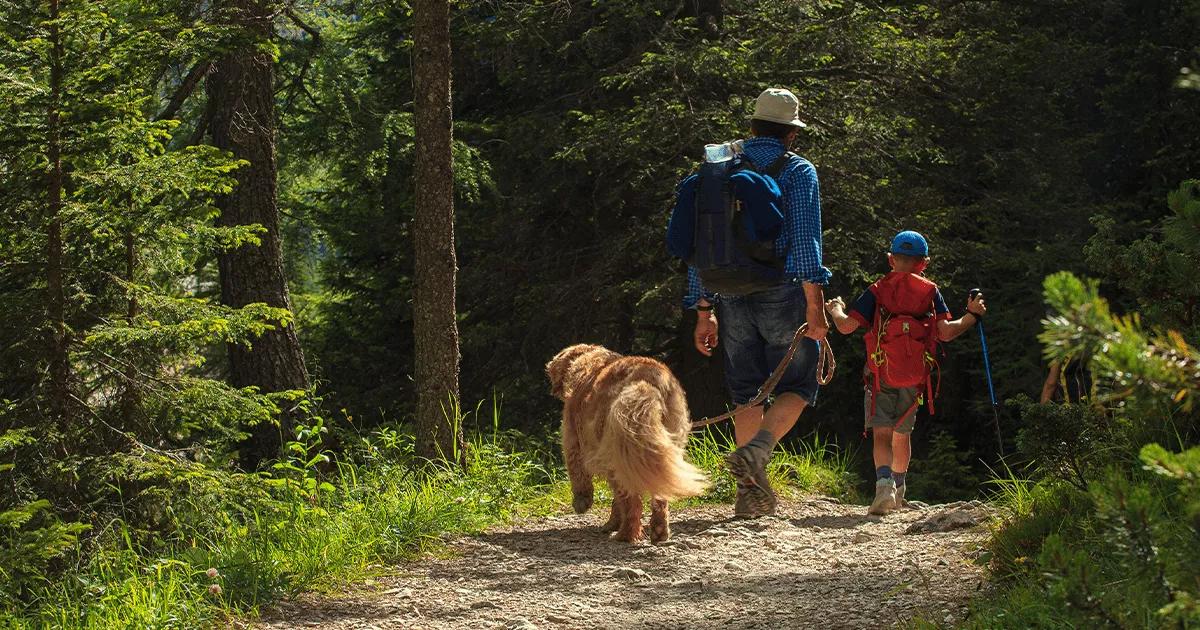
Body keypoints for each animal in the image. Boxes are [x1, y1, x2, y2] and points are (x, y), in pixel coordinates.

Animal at [547, 343, 705, 540]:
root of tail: (648, 380)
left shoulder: (573, 441)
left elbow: (578, 474)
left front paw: (582, 502)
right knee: (657, 498)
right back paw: (659, 531)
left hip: (620, 456)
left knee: (632, 501)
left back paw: (625, 534)